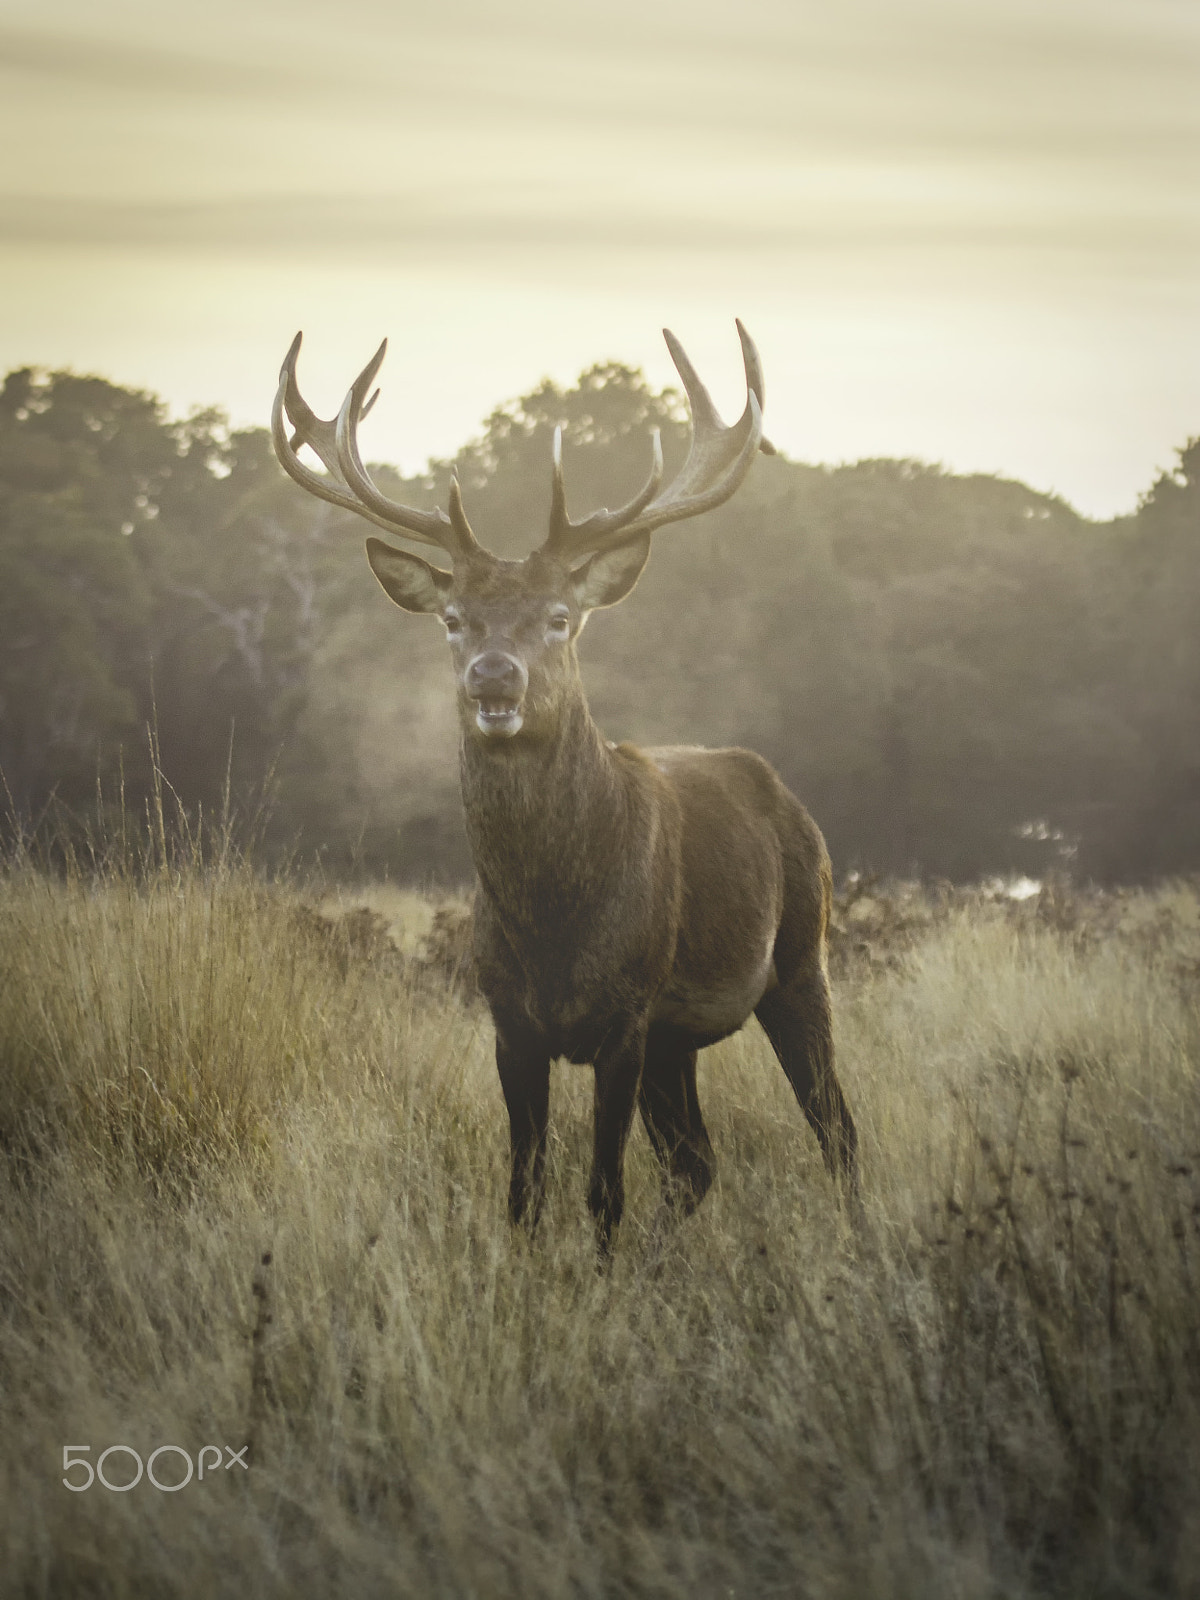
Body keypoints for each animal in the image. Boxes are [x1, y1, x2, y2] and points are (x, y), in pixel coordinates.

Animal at [271, 321, 858, 1253]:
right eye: (453, 618)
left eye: (558, 617)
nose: (493, 675)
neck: (554, 922)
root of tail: (786, 798)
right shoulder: (510, 1019)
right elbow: (524, 1187)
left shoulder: (625, 1014)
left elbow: (603, 1190)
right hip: (679, 1039)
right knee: (697, 1164)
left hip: (802, 956)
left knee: (836, 1130)